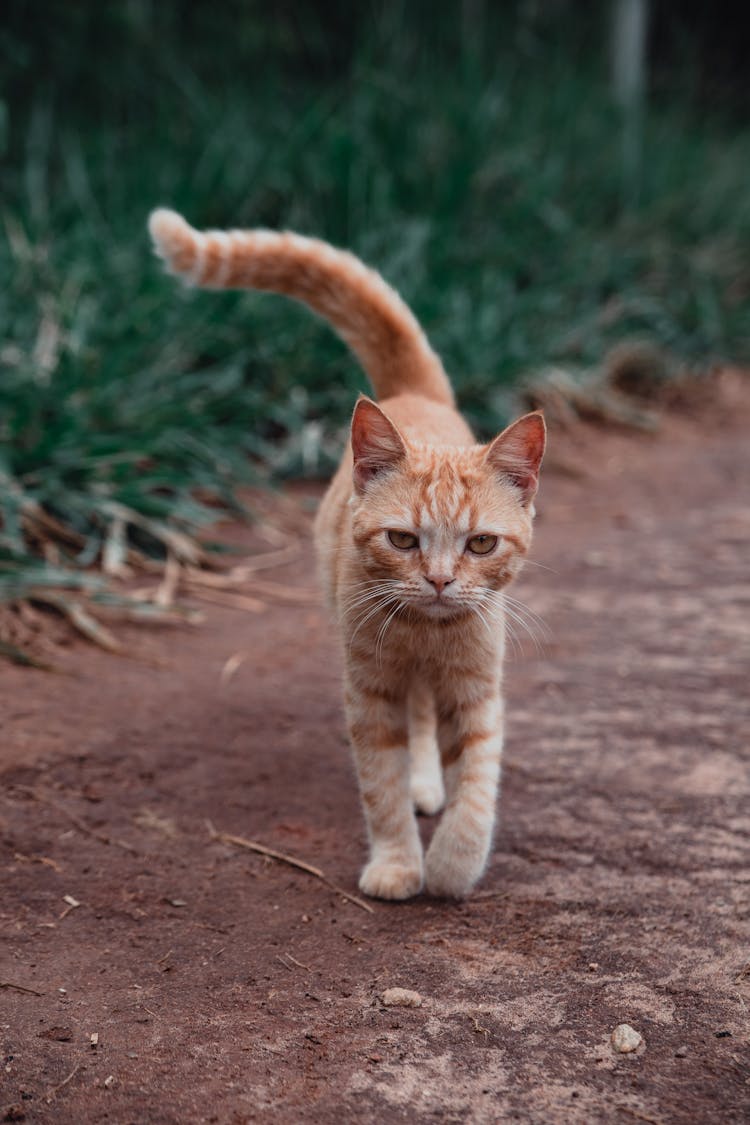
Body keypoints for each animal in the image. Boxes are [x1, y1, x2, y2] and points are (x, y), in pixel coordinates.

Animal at [149, 209, 546, 895]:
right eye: (403, 539)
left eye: (480, 543)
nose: (440, 581)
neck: (425, 635)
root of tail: (414, 395)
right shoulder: (370, 693)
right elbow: (380, 787)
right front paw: (397, 864)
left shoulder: (477, 692)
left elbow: (476, 790)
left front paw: (451, 868)